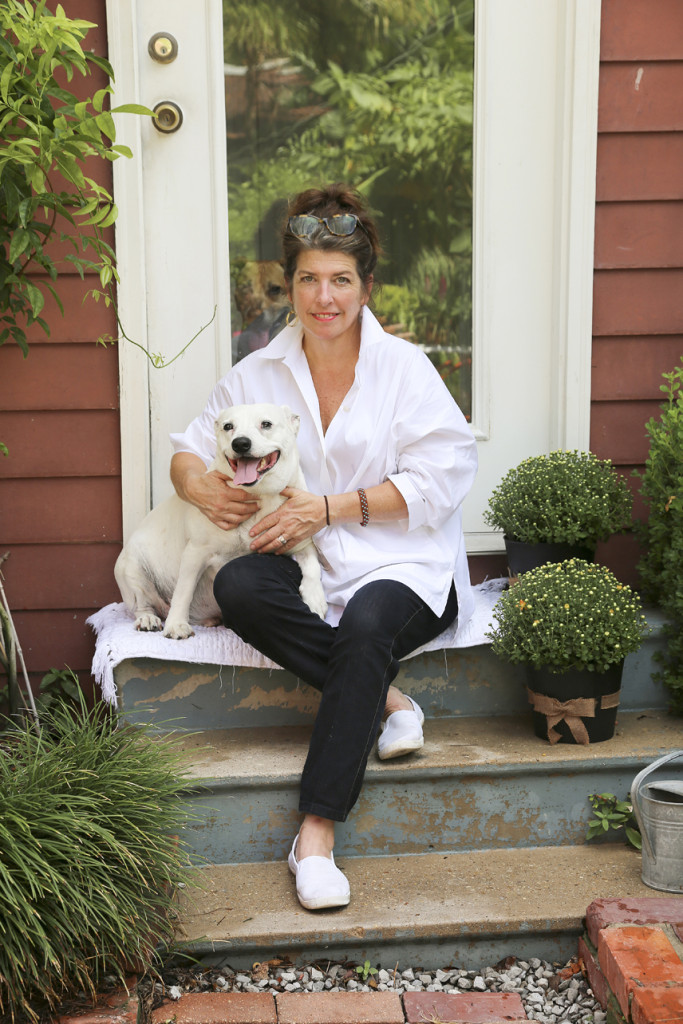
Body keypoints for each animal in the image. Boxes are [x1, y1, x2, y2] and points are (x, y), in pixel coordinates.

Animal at [114, 401, 327, 634]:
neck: (259, 496)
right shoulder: (195, 553)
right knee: (142, 603)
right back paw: (148, 619)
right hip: (132, 569)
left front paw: (315, 598)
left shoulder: (301, 540)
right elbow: (184, 590)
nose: (240, 443)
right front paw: (176, 624)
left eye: (266, 424)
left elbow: (312, 566)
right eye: (228, 426)